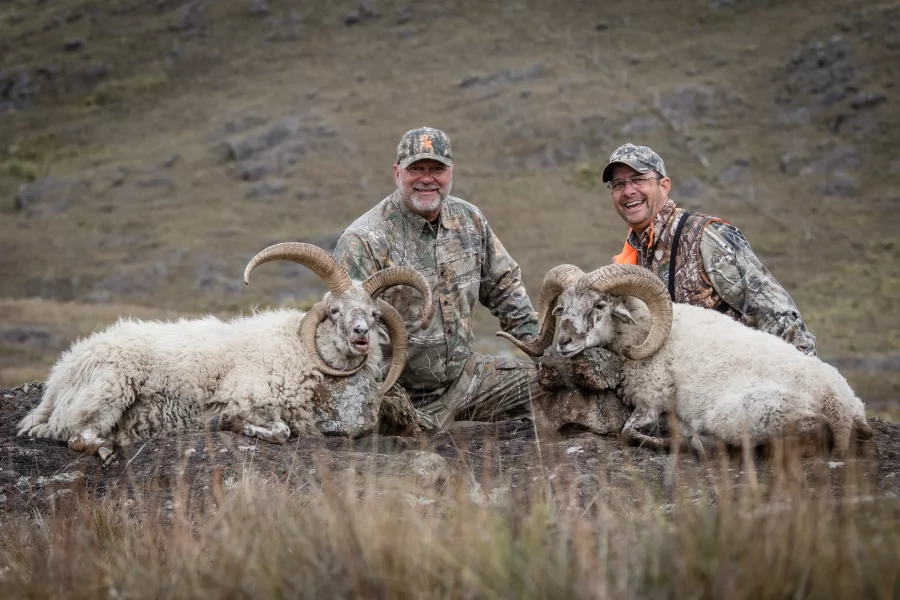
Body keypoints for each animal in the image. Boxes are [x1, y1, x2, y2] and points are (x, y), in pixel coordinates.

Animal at [17, 242, 434, 465]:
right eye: (334, 310)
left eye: (375, 315)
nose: (362, 335)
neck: (299, 348)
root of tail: (59, 377)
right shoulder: (247, 394)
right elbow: (278, 430)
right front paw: (229, 423)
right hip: (110, 387)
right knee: (76, 435)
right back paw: (106, 448)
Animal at [498, 263, 874, 458]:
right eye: (561, 308)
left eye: (600, 305)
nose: (564, 342)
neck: (646, 330)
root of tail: (840, 404)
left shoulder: (651, 399)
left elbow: (627, 433)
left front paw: (666, 439)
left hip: (748, 412)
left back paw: (697, 441)